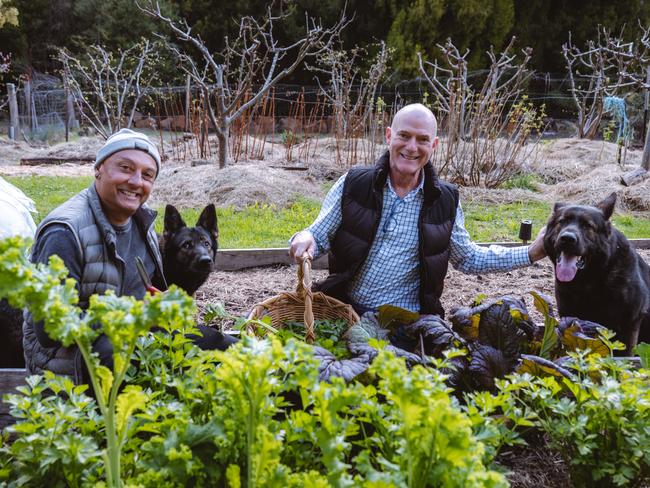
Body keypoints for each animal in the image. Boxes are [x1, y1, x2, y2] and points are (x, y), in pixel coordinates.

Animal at [540, 193, 648, 352]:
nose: (567, 238)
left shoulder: (629, 327)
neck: (588, 280)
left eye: (587, 225)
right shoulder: (571, 320)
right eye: (562, 221)